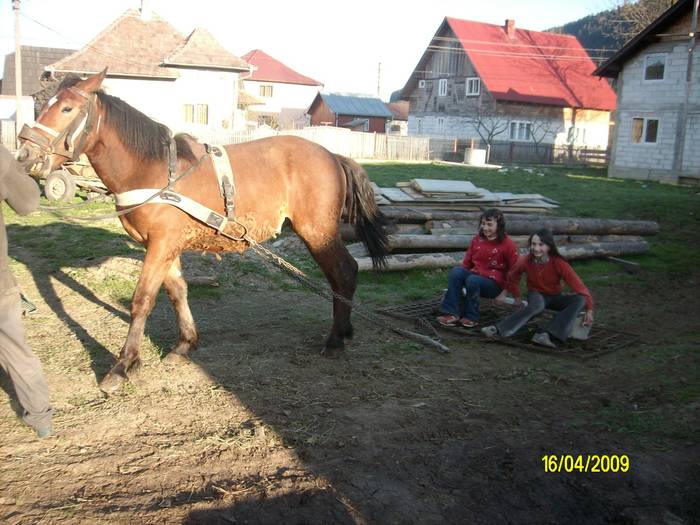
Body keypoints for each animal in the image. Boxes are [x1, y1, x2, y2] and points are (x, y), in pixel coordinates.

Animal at [17, 71, 388, 396]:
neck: (153, 170)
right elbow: (177, 292)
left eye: (67, 108)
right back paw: (344, 332)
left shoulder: (160, 245)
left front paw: (122, 366)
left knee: (343, 272)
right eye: (42, 104)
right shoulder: (165, 246)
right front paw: (185, 344)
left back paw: (336, 340)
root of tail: (332, 155)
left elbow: (142, 301)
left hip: (317, 232)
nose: (25, 154)